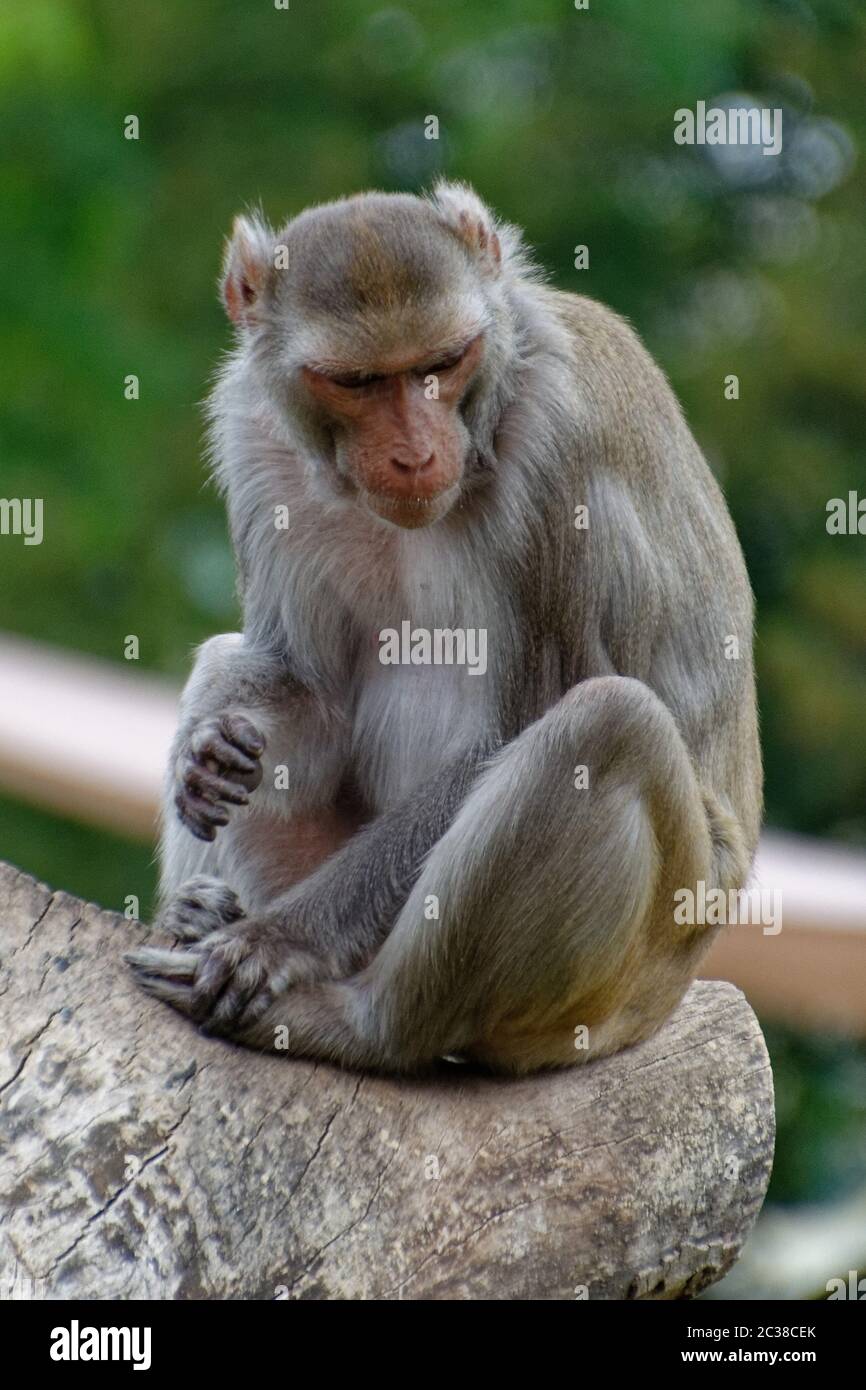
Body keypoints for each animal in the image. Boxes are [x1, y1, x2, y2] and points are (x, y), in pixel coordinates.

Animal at [126, 181, 762, 1075]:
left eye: (440, 364)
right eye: (357, 381)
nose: (415, 453)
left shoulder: (557, 450)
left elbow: (514, 726)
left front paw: (276, 942)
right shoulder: (255, 438)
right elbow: (302, 683)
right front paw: (208, 757)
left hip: (626, 981)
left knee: (608, 725)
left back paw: (360, 1022)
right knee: (228, 658)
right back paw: (198, 913)